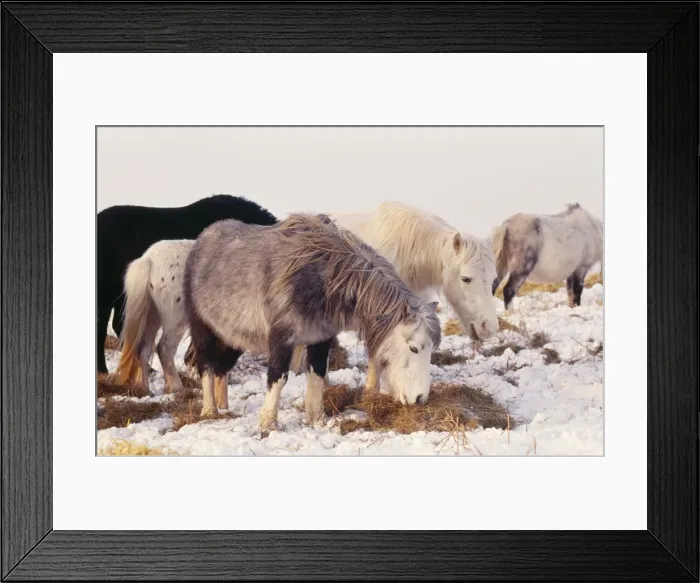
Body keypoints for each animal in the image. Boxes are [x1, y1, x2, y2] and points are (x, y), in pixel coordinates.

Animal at [183, 213, 442, 435]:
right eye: (414, 348)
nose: (420, 398)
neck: (323, 278)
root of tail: (202, 240)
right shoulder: (282, 338)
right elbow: (278, 378)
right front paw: (268, 424)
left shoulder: (320, 338)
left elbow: (317, 375)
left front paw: (317, 419)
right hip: (203, 330)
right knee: (206, 366)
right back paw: (210, 410)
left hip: (232, 336)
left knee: (221, 369)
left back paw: (224, 407)